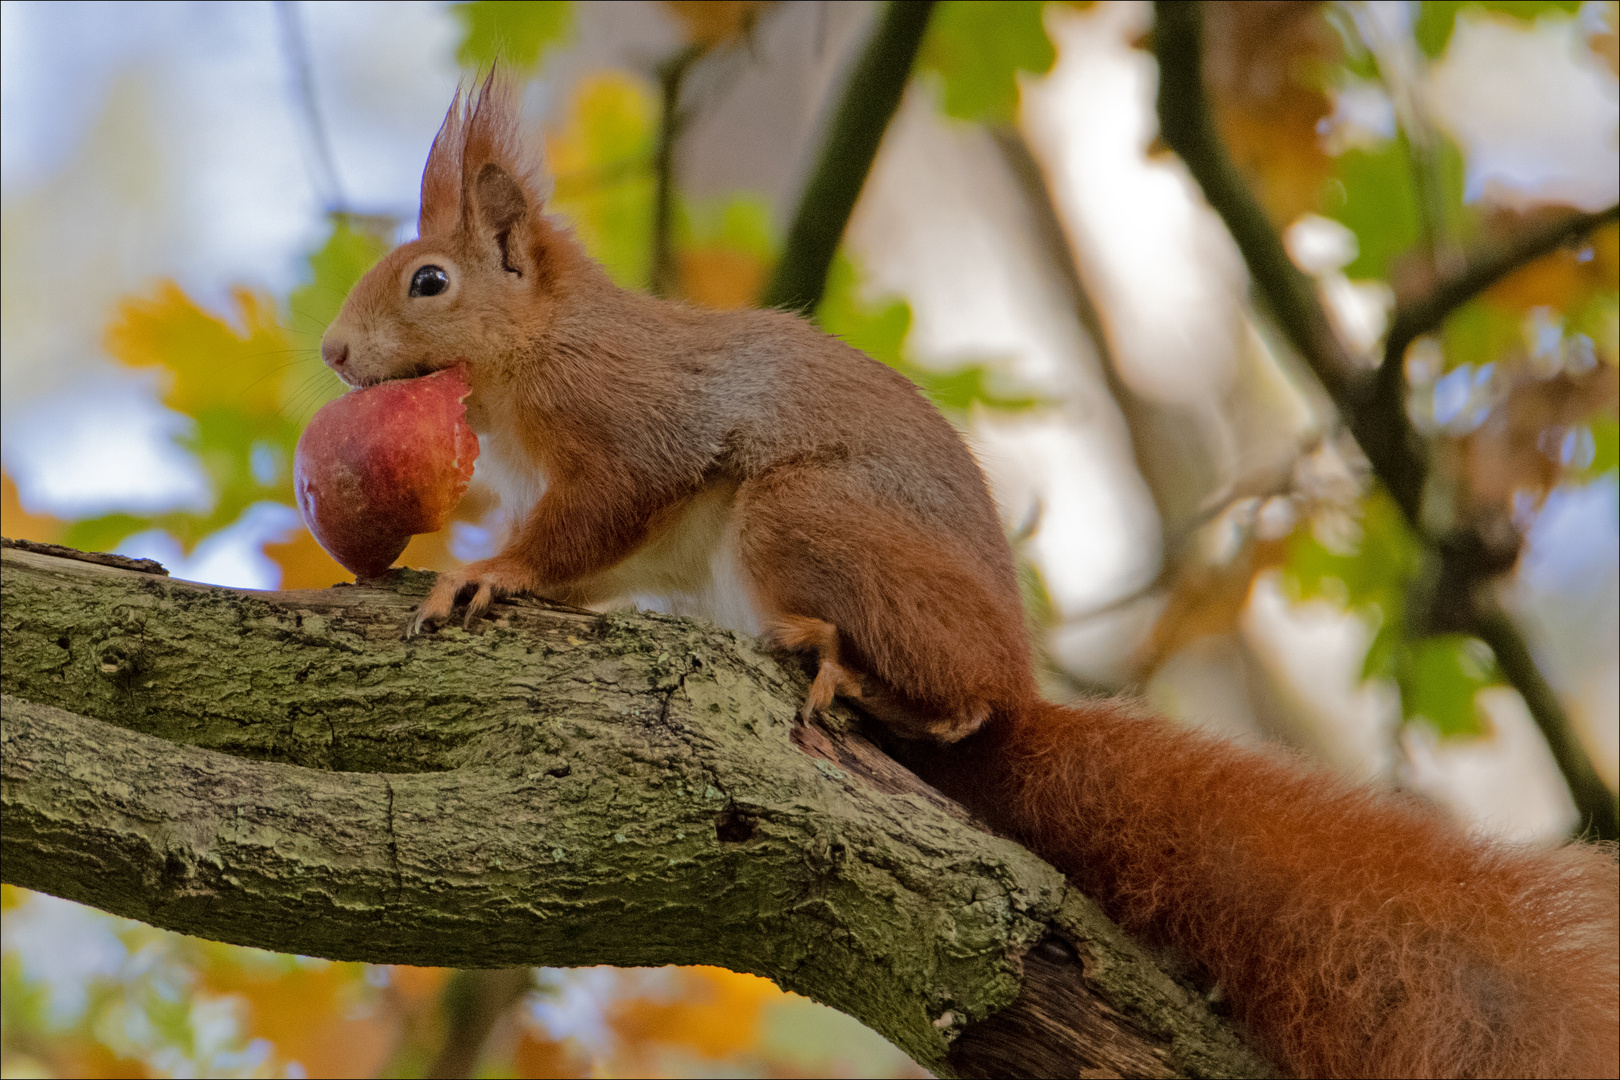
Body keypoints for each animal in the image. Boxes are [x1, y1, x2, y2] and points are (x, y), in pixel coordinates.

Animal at [319, 78, 1620, 1080]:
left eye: (429, 281)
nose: (333, 354)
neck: (537, 348)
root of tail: (1021, 678)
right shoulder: (641, 532)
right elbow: (604, 568)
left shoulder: (634, 425)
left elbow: (588, 517)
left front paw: (486, 574)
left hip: (806, 518)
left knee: (956, 699)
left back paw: (845, 668)